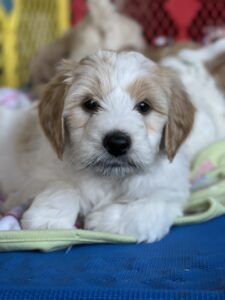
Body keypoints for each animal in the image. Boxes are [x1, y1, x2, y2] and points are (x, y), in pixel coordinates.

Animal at [0, 44, 223, 241]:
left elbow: (146, 209)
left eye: (144, 106)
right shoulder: (42, 170)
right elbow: (61, 185)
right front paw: (49, 219)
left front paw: (101, 221)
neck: (109, 178)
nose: (117, 142)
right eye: (90, 104)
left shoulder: (169, 192)